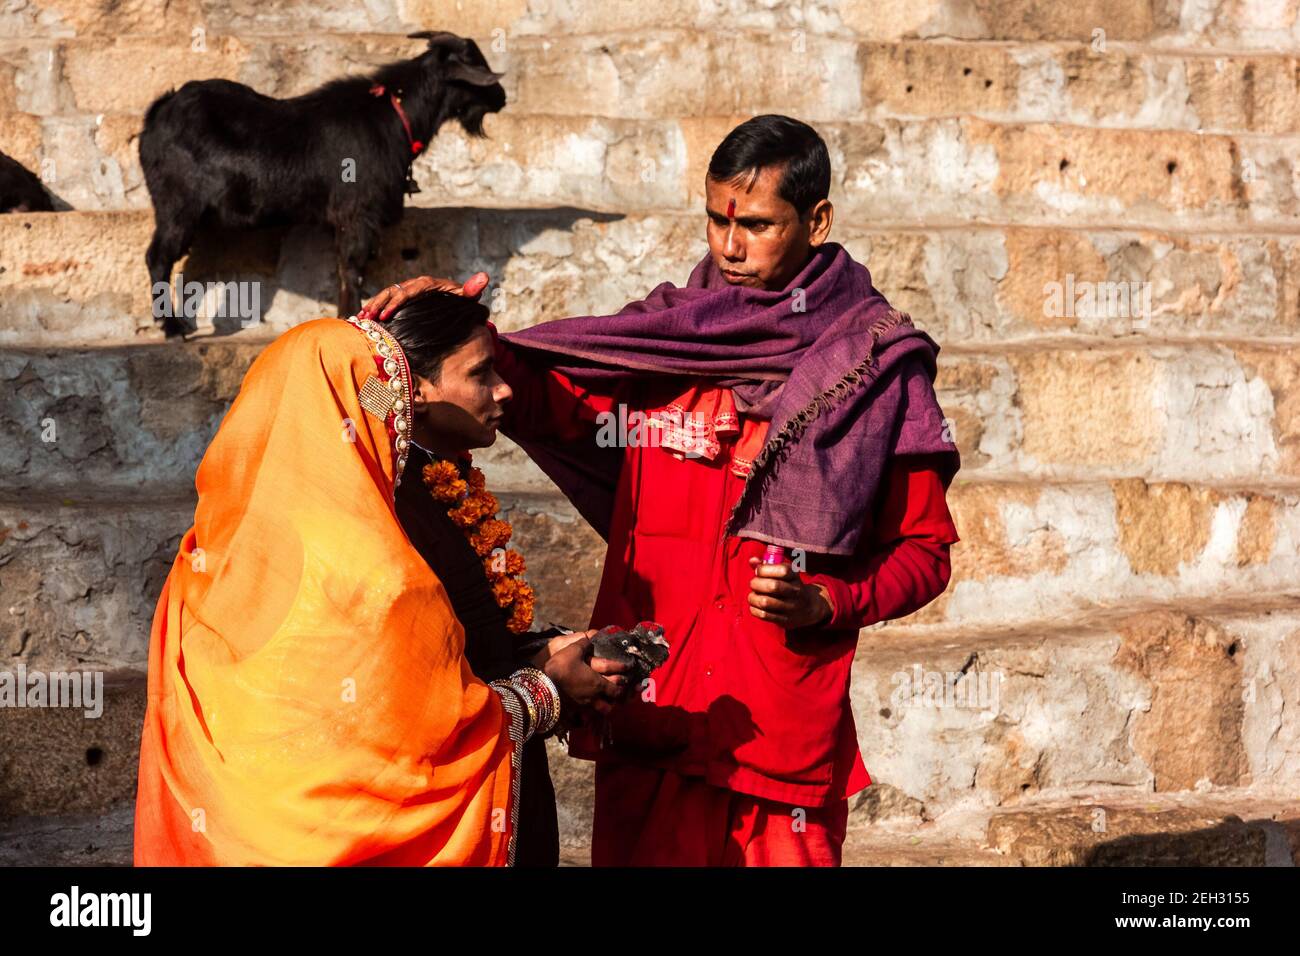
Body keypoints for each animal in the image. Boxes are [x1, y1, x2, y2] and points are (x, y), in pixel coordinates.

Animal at [139, 30, 504, 335]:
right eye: (475, 62)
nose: (501, 97)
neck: (395, 117)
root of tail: (159, 112)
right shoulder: (357, 213)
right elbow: (352, 268)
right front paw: (352, 317)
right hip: (177, 206)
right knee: (158, 257)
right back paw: (173, 328)